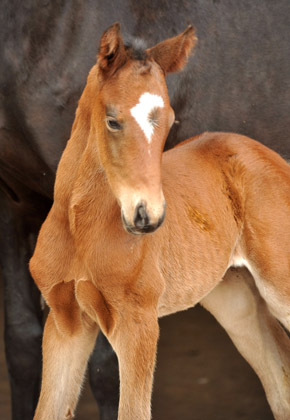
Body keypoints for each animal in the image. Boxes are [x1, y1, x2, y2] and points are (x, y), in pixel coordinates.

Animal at [1, 0, 290, 420]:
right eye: (112, 120)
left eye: (170, 120)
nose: (147, 216)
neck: (79, 228)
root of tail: (269, 155)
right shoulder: (65, 321)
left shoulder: (136, 324)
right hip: (236, 297)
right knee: (280, 382)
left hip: (278, 282)